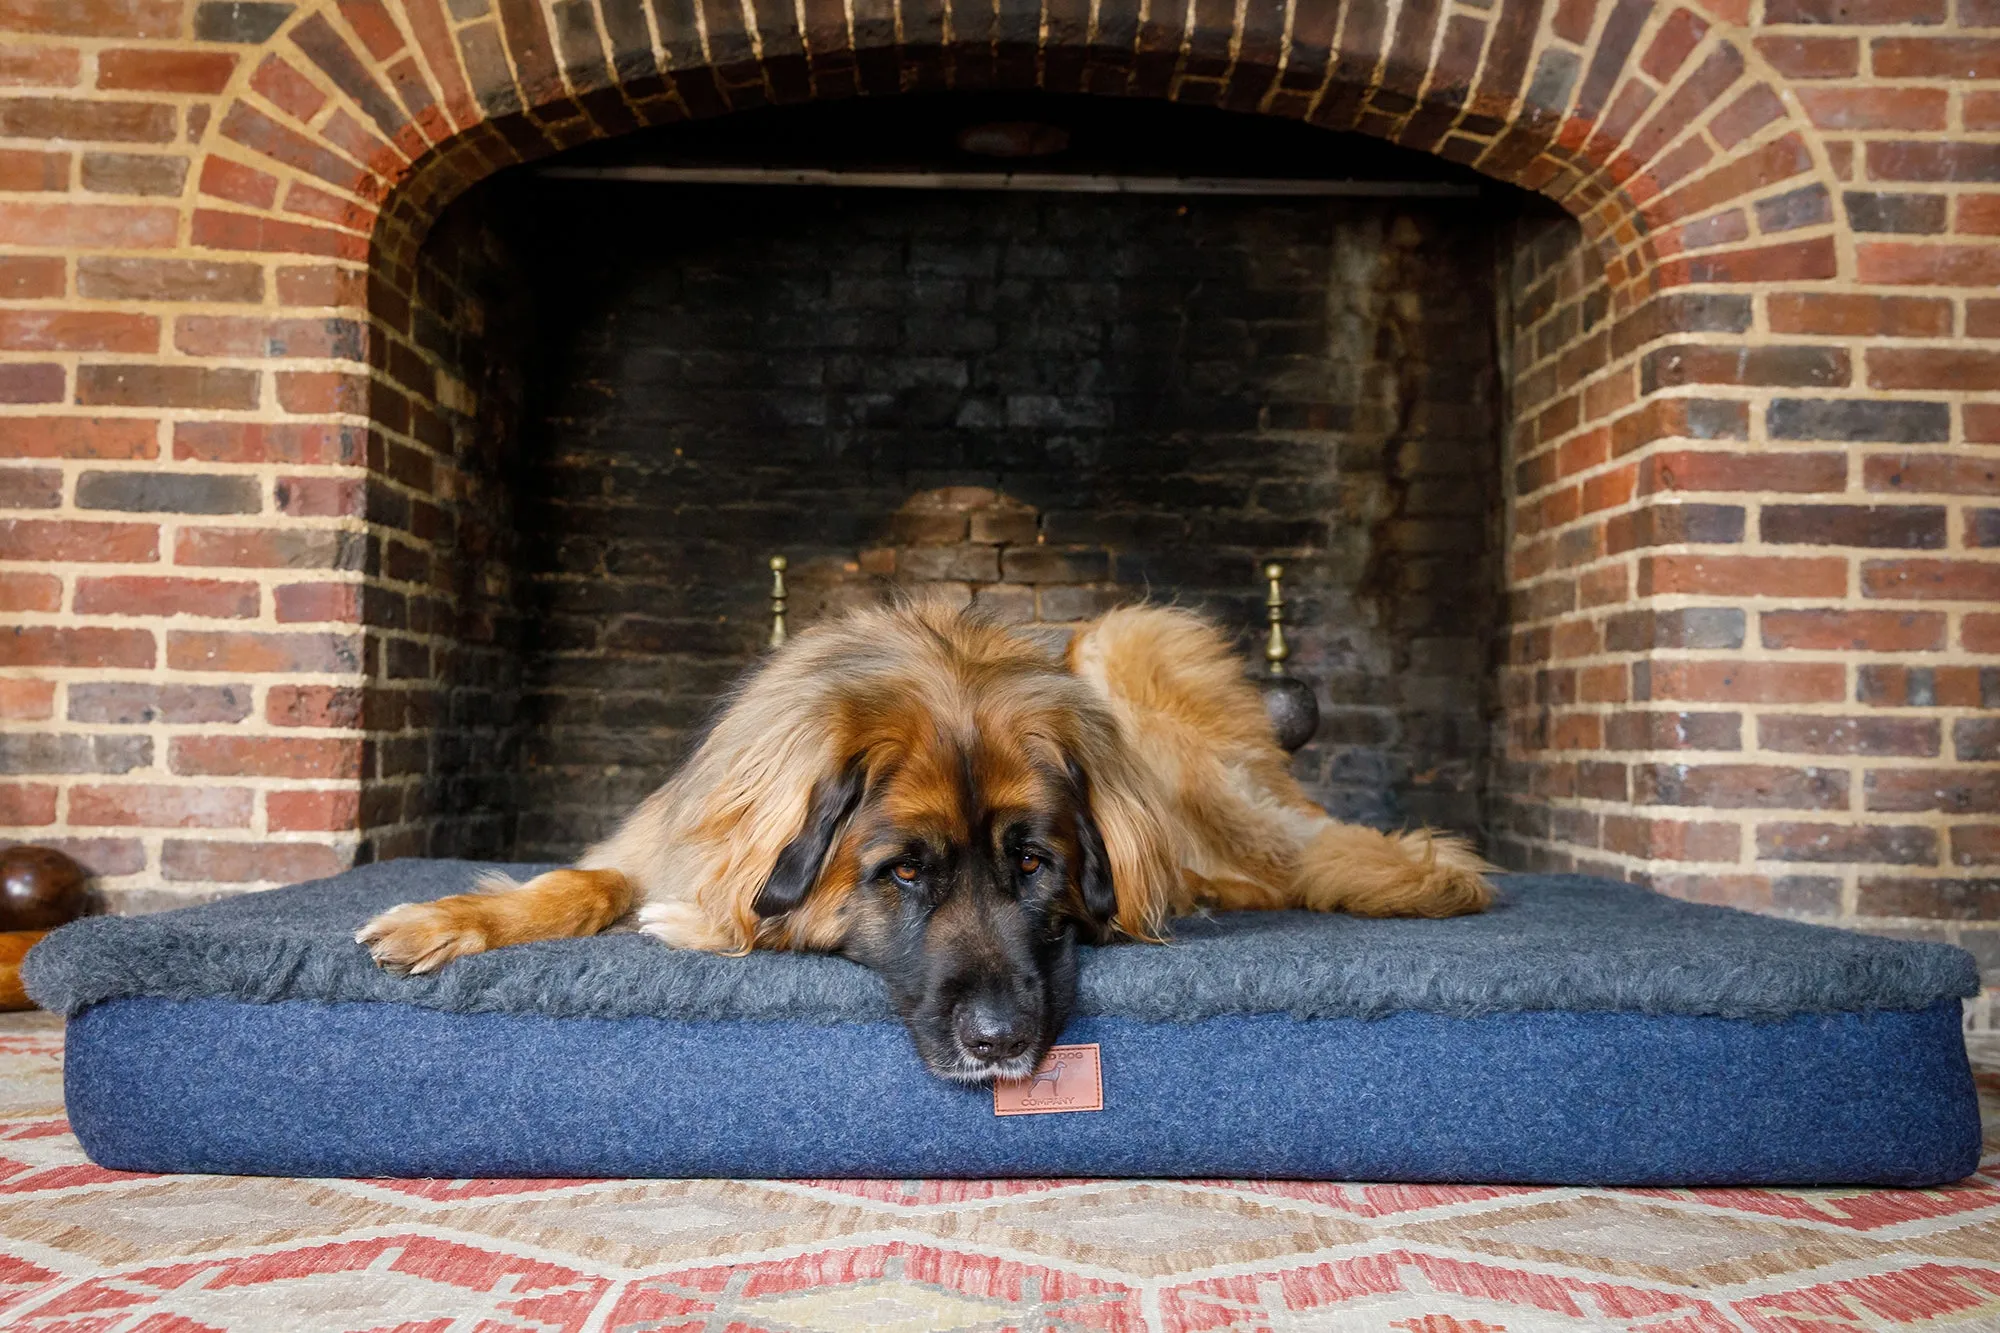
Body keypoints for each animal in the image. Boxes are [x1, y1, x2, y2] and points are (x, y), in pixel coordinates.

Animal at [360, 600, 1496, 1080]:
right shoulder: (663, 839)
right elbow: (582, 882)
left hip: (1129, 645)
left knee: (1300, 855)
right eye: (904, 872)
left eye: (1032, 864)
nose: (998, 1043)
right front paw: (447, 917)